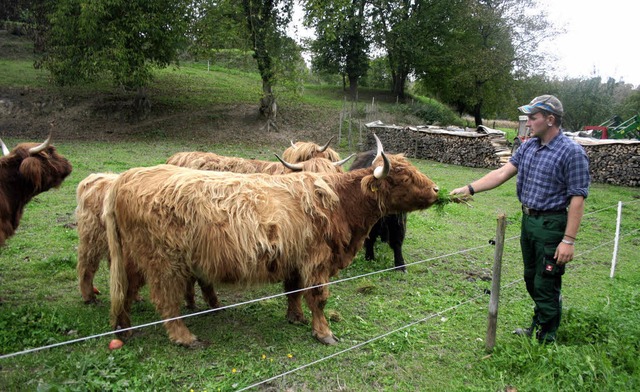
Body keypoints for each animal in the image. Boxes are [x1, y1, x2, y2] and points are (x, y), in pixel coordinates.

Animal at [106, 136, 440, 348]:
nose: (436, 189)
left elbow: (294, 291)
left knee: (126, 290)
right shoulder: (317, 260)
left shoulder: (295, 259)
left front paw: (295, 317)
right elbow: (319, 297)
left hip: (135, 258)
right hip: (164, 262)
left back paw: (125, 329)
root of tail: (125, 178)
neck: (341, 203)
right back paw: (185, 338)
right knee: (164, 300)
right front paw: (324, 333)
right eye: (402, 178)